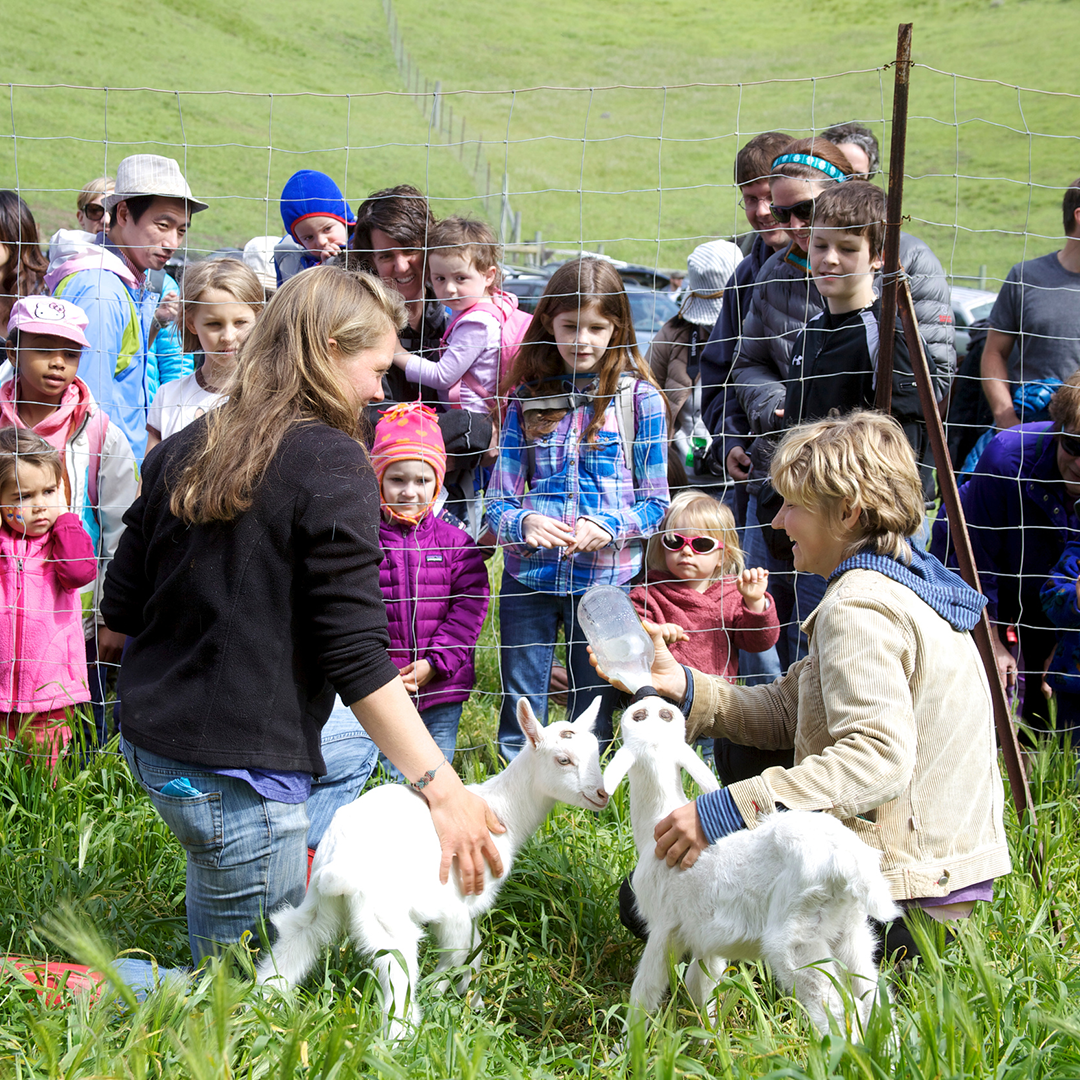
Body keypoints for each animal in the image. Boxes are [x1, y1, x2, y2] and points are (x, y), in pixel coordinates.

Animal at [254, 699, 609, 1036]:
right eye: (563, 759)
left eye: (596, 750)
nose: (603, 795)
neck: (500, 812)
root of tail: (340, 861)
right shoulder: (456, 906)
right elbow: (463, 955)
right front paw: (455, 998)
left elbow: (473, 955)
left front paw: (469, 1003)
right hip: (387, 919)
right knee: (398, 982)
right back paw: (402, 1038)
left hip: (317, 902)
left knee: (291, 944)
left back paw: (260, 1011)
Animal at [609, 695, 902, 1032]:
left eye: (648, 715)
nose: (649, 696)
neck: (656, 821)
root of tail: (848, 861)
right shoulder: (705, 937)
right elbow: (702, 985)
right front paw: (710, 1034)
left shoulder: (663, 926)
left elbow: (645, 991)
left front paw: (630, 1040)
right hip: (850, 932)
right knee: (873, 1000)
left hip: (798, 937)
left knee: (838, 1009)